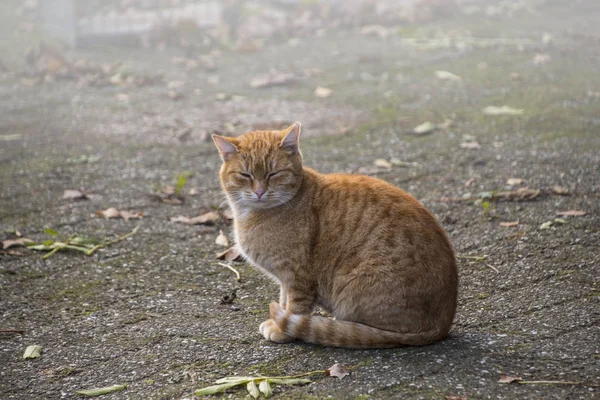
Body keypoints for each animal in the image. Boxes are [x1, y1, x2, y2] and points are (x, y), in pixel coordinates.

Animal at [213, 122, 458, 346]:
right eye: (245, 175)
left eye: (274, 174)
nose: (260, 192)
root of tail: (442, 325)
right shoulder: (285, 279)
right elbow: (283, 302)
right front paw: (279, 320)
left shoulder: (297, 276)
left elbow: (294, 308)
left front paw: (284, 330)